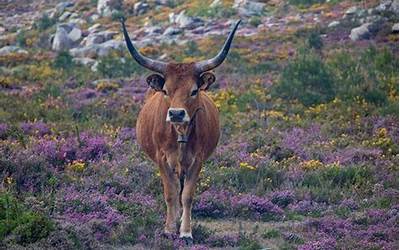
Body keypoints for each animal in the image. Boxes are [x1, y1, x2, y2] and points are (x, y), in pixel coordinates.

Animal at [120, 19, 241, 244]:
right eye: (166, 90)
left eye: (193, 91)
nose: (176, 113)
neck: (180, 133)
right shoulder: (162, 158)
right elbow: (170, 194)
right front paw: (169, 229)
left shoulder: (197, 159)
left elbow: (187, 195)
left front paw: (185, 232)